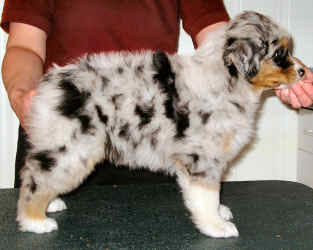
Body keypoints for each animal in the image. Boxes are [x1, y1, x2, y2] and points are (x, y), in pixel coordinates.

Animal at [17, 11, 302, 237]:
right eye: (279, 53)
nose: (303, 72)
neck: (227, 80)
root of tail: (52, 82)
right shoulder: (202, 157)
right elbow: (207, 196)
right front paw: (216, 226)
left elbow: (211, 194)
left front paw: (220, 212)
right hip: (74, 147)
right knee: (36, 175)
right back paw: (35, 220)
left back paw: (50, 204)